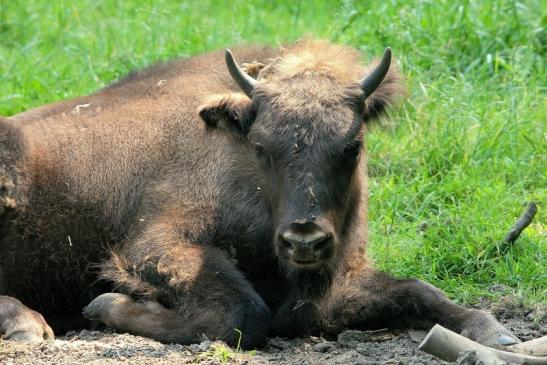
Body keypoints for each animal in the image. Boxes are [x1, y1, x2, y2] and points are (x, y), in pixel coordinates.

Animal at [0, 39, 520, 346]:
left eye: (352, 146)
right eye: (261, 146)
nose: (305, 239)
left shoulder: (330, 288)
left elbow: (416, 290)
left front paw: (493, 331)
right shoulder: (155, 244)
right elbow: (243, 314)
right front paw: (105, 306)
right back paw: (28, 326)